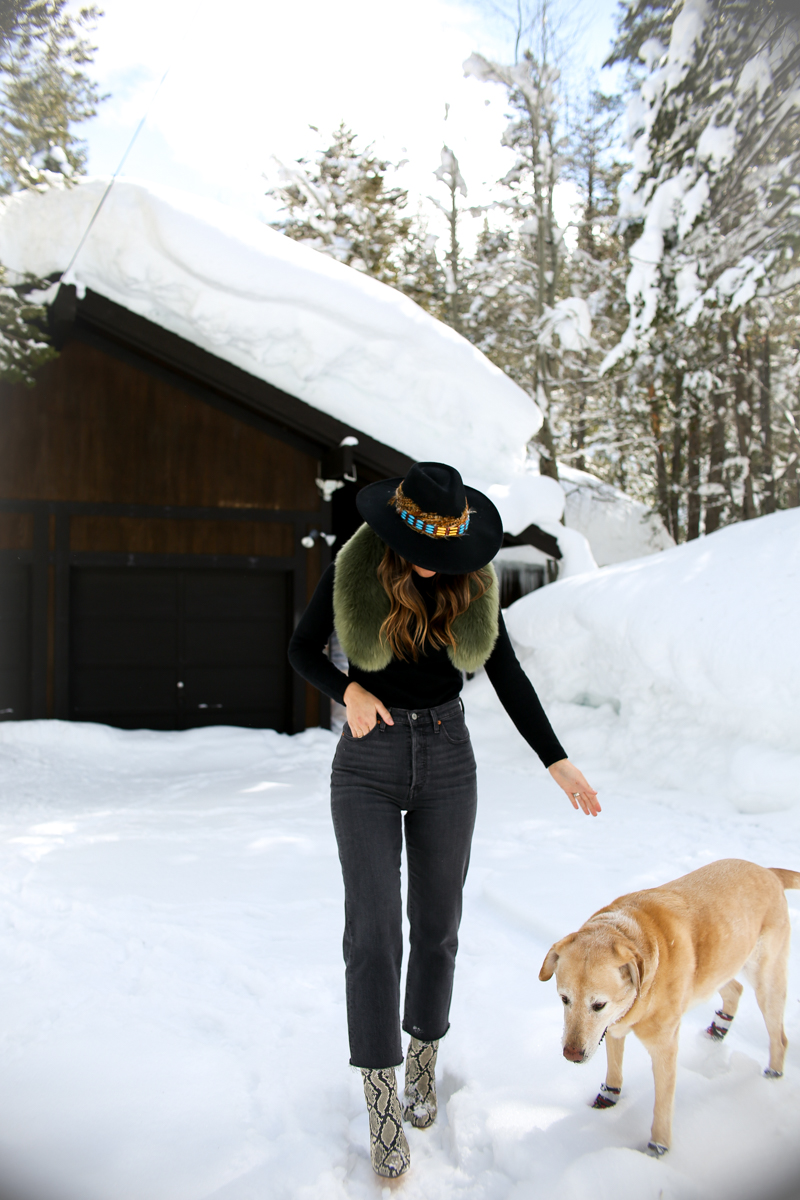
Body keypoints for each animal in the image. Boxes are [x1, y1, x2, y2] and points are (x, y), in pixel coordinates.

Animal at [542, 864, 796, 1152]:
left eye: (598, 1004)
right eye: (564, 999)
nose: (571, 1054)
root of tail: (767, 871)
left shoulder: (663, 1046)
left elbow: (662, 1103)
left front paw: (658, 1147)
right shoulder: (615, 1028)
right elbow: (614, 1070)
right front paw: (607, 1101)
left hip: (766, 980)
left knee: (779, 1037)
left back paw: (772, 1076)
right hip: (718, 966)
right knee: (734, 989)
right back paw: (718, 1028)